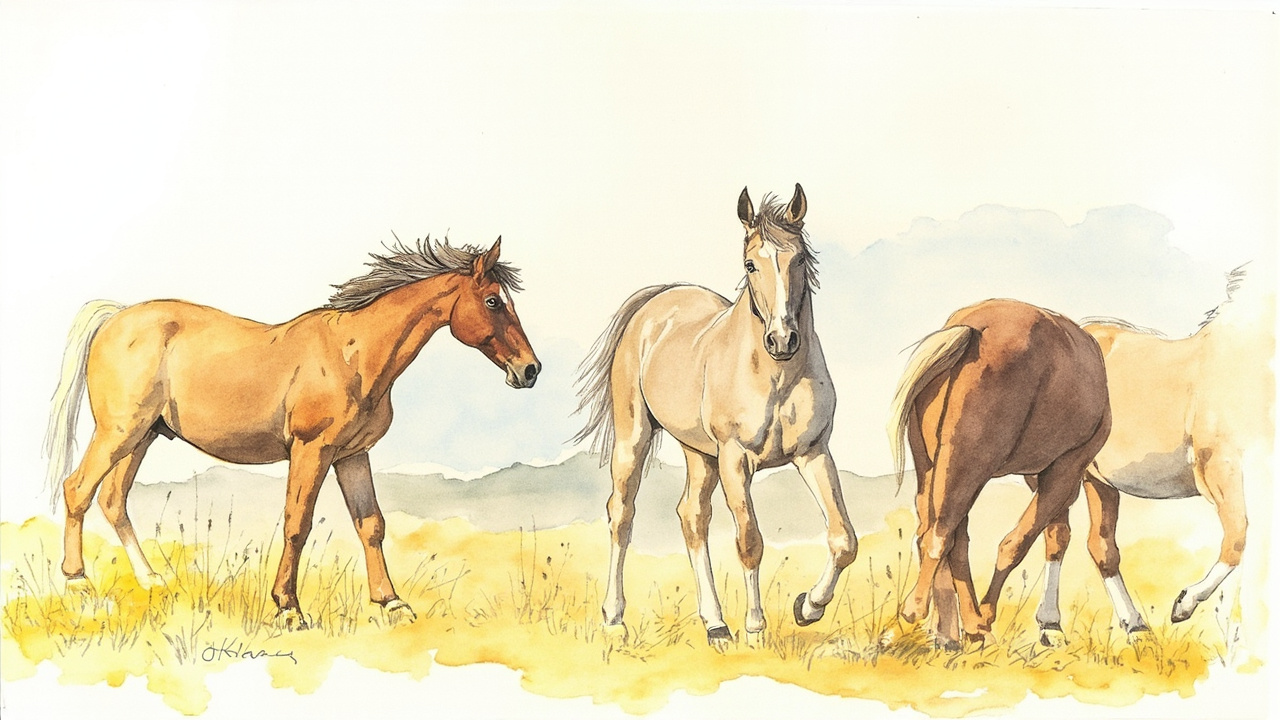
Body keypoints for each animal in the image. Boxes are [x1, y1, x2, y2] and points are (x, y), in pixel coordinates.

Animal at [42, 237, 540, 629]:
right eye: (494, 301)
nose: (530, 370)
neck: (352, 353)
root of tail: (117, 317)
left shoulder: (351, 455)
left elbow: (371, 525)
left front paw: (391, 603)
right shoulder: (310, 450)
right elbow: (297, 524)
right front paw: (288, 609)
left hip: (142, 437)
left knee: (112, 499)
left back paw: (151, 580)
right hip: (118, 433)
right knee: (78, 489)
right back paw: (77, 583)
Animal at [573, 184, 857, 647]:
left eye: (798, 258)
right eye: (750, 264)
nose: (782, 339)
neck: (775, 374)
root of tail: (656, 303)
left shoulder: (814, 453)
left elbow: (843, 538)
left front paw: (808, 607)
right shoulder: (735, 459)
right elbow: (750, 541)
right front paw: (756, 628)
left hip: (698, 452)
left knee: (692, 516)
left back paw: (716, 624)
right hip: (634, 438)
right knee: (622, 514)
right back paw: (614, 617)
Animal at [887, 299, 1111, 645]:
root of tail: (972, 326)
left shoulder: (1043, 475)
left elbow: (1054, 535)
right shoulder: (1066, 467)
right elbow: (1018, 542)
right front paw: (989, 616)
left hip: (934, 465)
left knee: (943, 535)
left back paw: (954, 630)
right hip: (968, 465)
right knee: (940, 535)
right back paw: (919, 613)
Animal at [1024, 267, 1274, 646]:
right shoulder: (1220, 467)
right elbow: (1237, 536)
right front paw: (1183, 606)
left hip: (1097, 480)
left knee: (1100, 546)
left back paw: (1135, 628)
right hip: (1056, 475)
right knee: (1057, 536)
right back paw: (1051, 628)